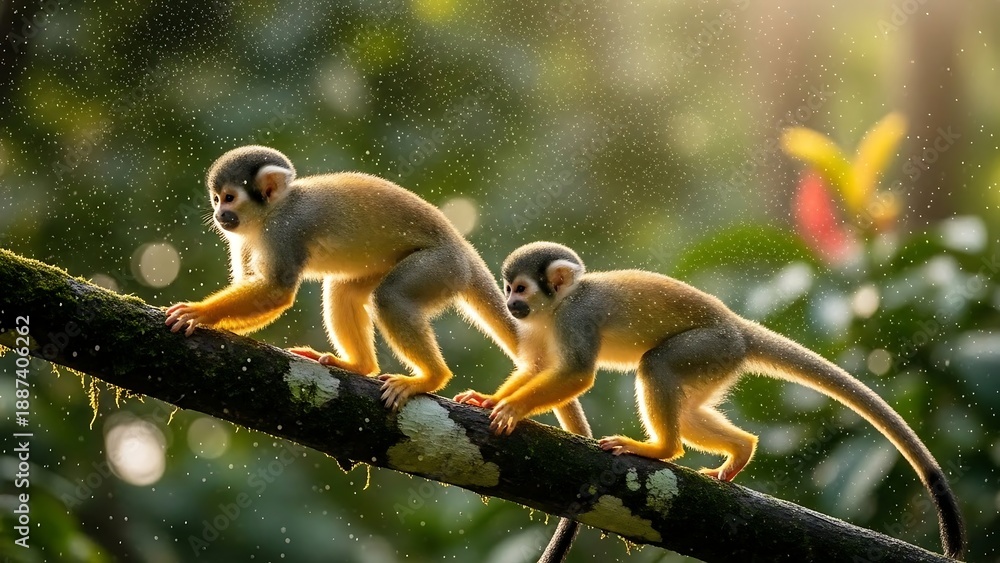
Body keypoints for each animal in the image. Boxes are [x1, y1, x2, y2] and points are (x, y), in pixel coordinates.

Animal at [164, 147, 590, 563]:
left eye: (230, 198)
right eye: (216, 199)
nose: (219, 215)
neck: (270, 213)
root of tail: (465, 253)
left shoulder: (285, 232)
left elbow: (276, 291)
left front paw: (200, 313)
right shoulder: (246, 237)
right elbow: (255, 284)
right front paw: (219, 323)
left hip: (438, 268)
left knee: (390, 296)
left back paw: (430, 377)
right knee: (345, 288)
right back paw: (359, 365)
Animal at [455, 241, 965, 560]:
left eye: (520, 288)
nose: (511, 304)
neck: (555, 307)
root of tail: (738, 327)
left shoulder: (576, 318)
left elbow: (577, 374)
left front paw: (512, 409)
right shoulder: (537, 326)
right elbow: (536, 367)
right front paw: (489, 399)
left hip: (709, 347)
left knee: (656, 366)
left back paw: (661, 449)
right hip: (718, 362)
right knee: (686, 406)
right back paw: (739, 450)